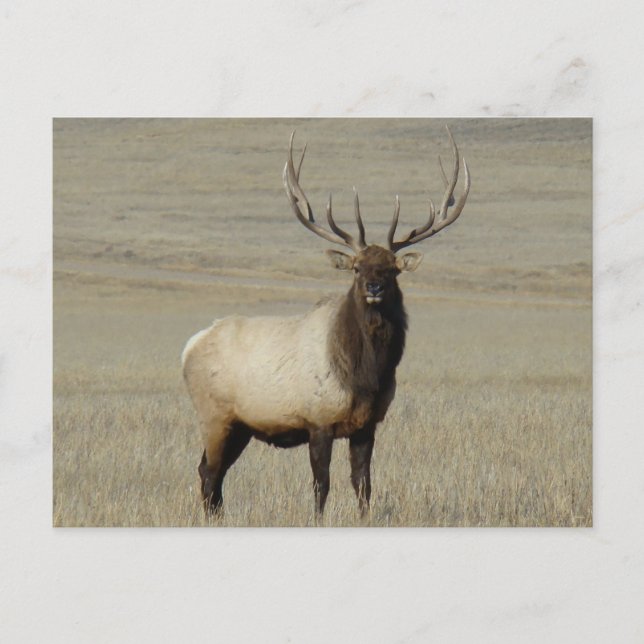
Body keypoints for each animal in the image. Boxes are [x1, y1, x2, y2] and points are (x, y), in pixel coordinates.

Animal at [182, 126, 470, 519]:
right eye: (357, 267)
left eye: (392, 269)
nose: (375, 287)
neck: (366, 376)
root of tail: (188, 347)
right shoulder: (317, 421)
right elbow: (322, 486)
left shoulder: (367, 425)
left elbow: (363, 485)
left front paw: (364, 519)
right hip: (213, 415)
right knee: (208, 472)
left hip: (239, 426)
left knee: (213, 474)